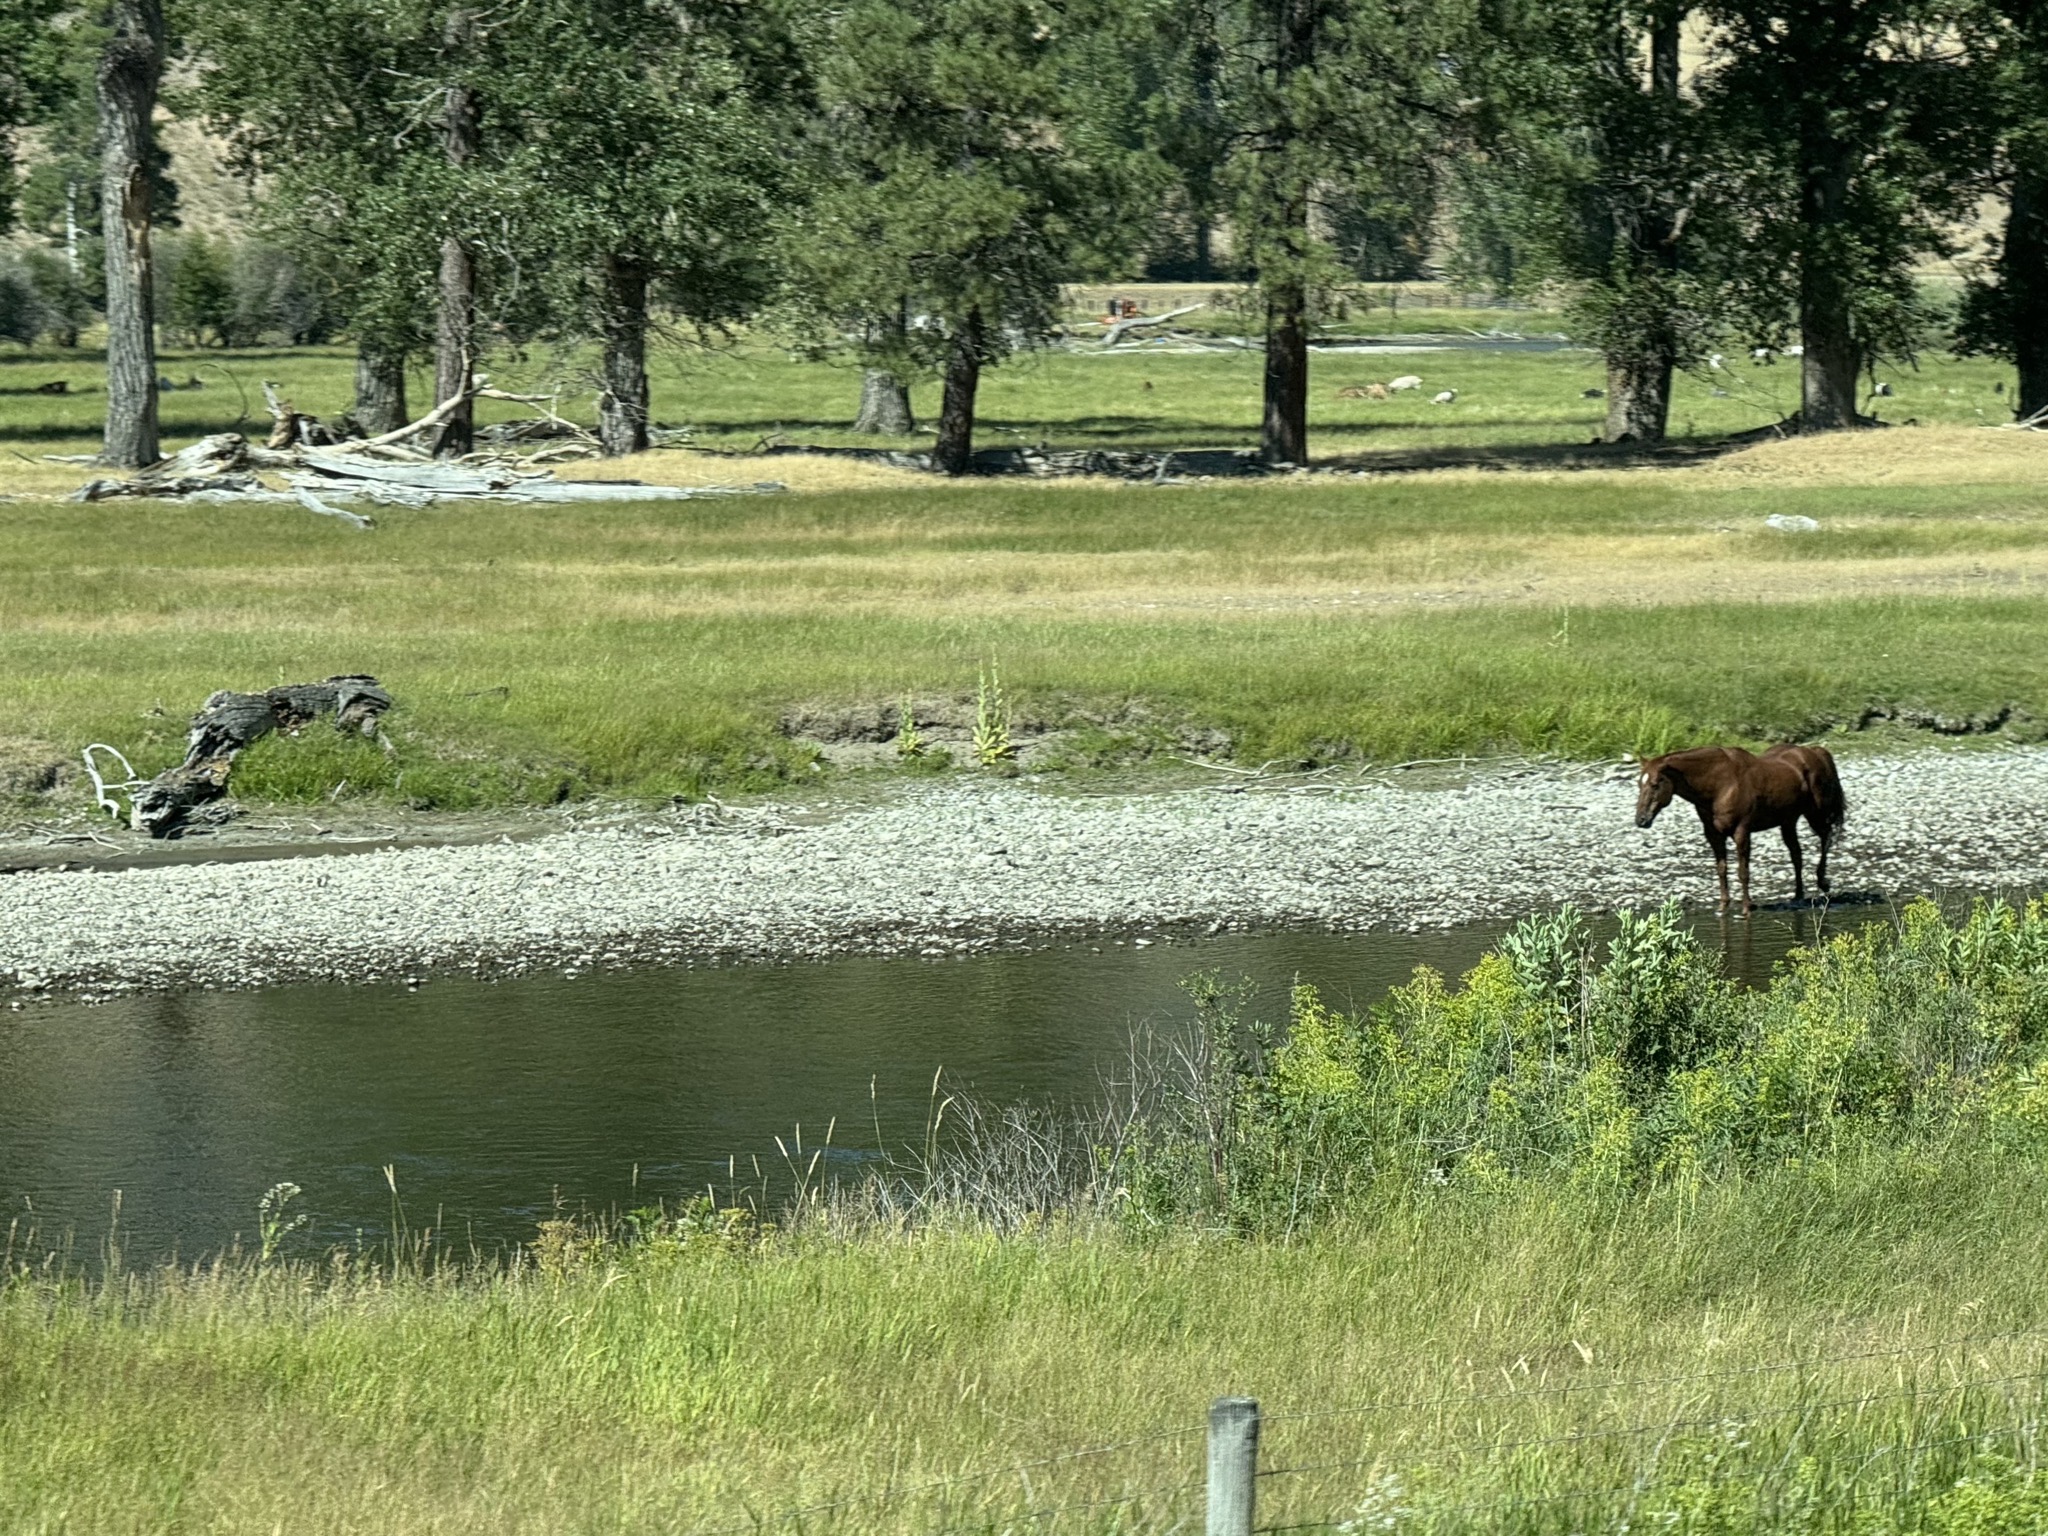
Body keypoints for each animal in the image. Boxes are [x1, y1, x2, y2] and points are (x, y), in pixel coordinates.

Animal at [1634, 744, 1847, 914]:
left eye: (1654, 785)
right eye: (1639, 784)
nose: (1641, 820)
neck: (1721, 785)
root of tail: (1814, 752)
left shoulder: (1741, 832)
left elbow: (1743, 872)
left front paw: (1746, 907)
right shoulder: (1713, 834)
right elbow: (1721, 869)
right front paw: (1723, 906)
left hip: (1816, 813)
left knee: (1826, 837)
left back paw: (1822, 882)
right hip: (1788, 821)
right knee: (1797, 855)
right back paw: (1798, 895)